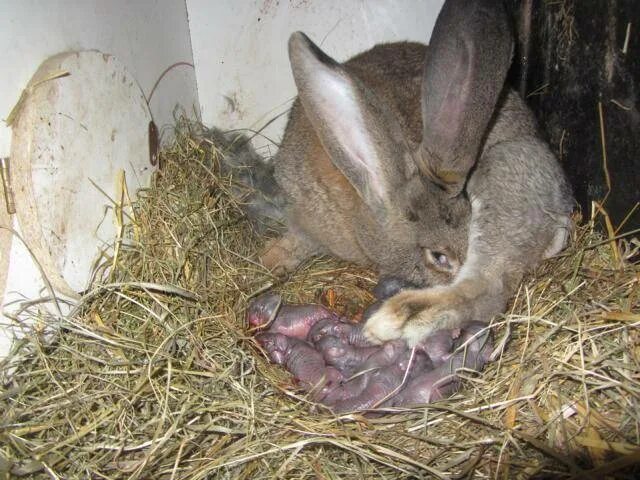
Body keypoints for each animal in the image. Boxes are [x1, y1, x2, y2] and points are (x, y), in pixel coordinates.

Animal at [262, 0, 576, 344]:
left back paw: (396, 320)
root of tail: (562, 209)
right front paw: (271, 261)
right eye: (438, 257)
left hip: (502, 170)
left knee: (487, 287)